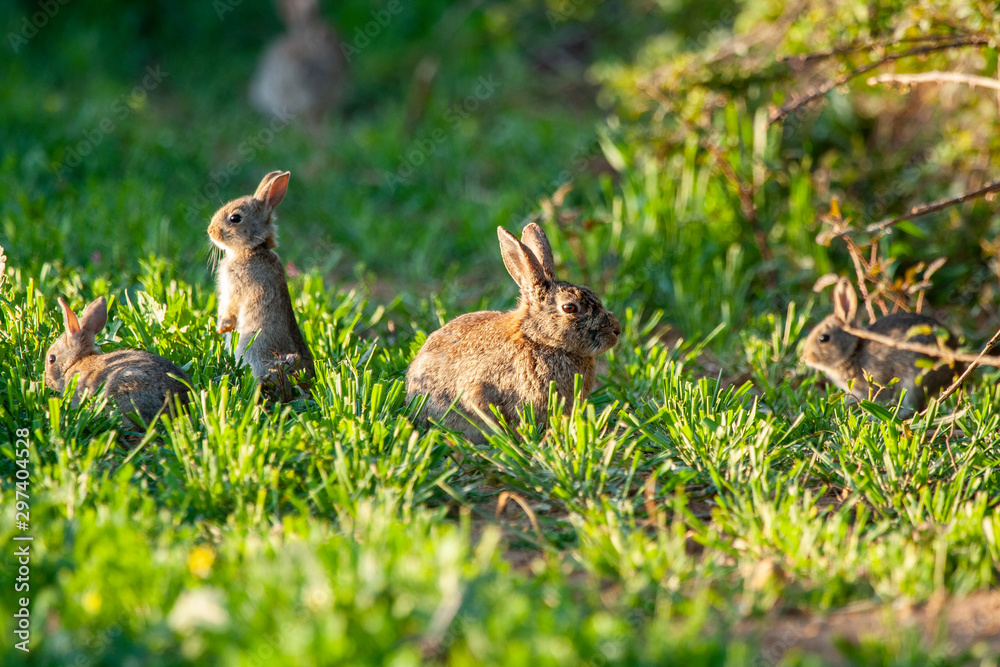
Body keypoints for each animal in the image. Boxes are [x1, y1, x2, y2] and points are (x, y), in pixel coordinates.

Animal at [208, 170, 315, 400]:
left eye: (235, 218)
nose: (210, 231)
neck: (252, 249)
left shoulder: (236, 290)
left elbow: (230, 309)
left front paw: (223, 328)